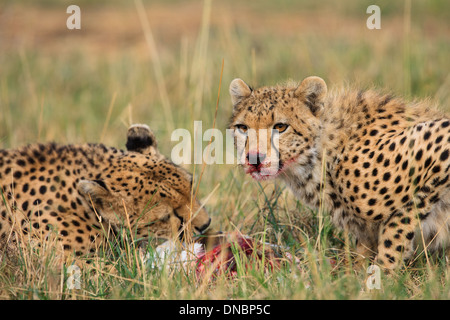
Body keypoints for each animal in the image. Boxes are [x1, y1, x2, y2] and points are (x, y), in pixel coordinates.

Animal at [229, 76, 450, 268]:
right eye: (243, 128)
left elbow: (397, 230)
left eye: (281, 126)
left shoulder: (439, 137)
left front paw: (382, 277)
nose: (254, 159)